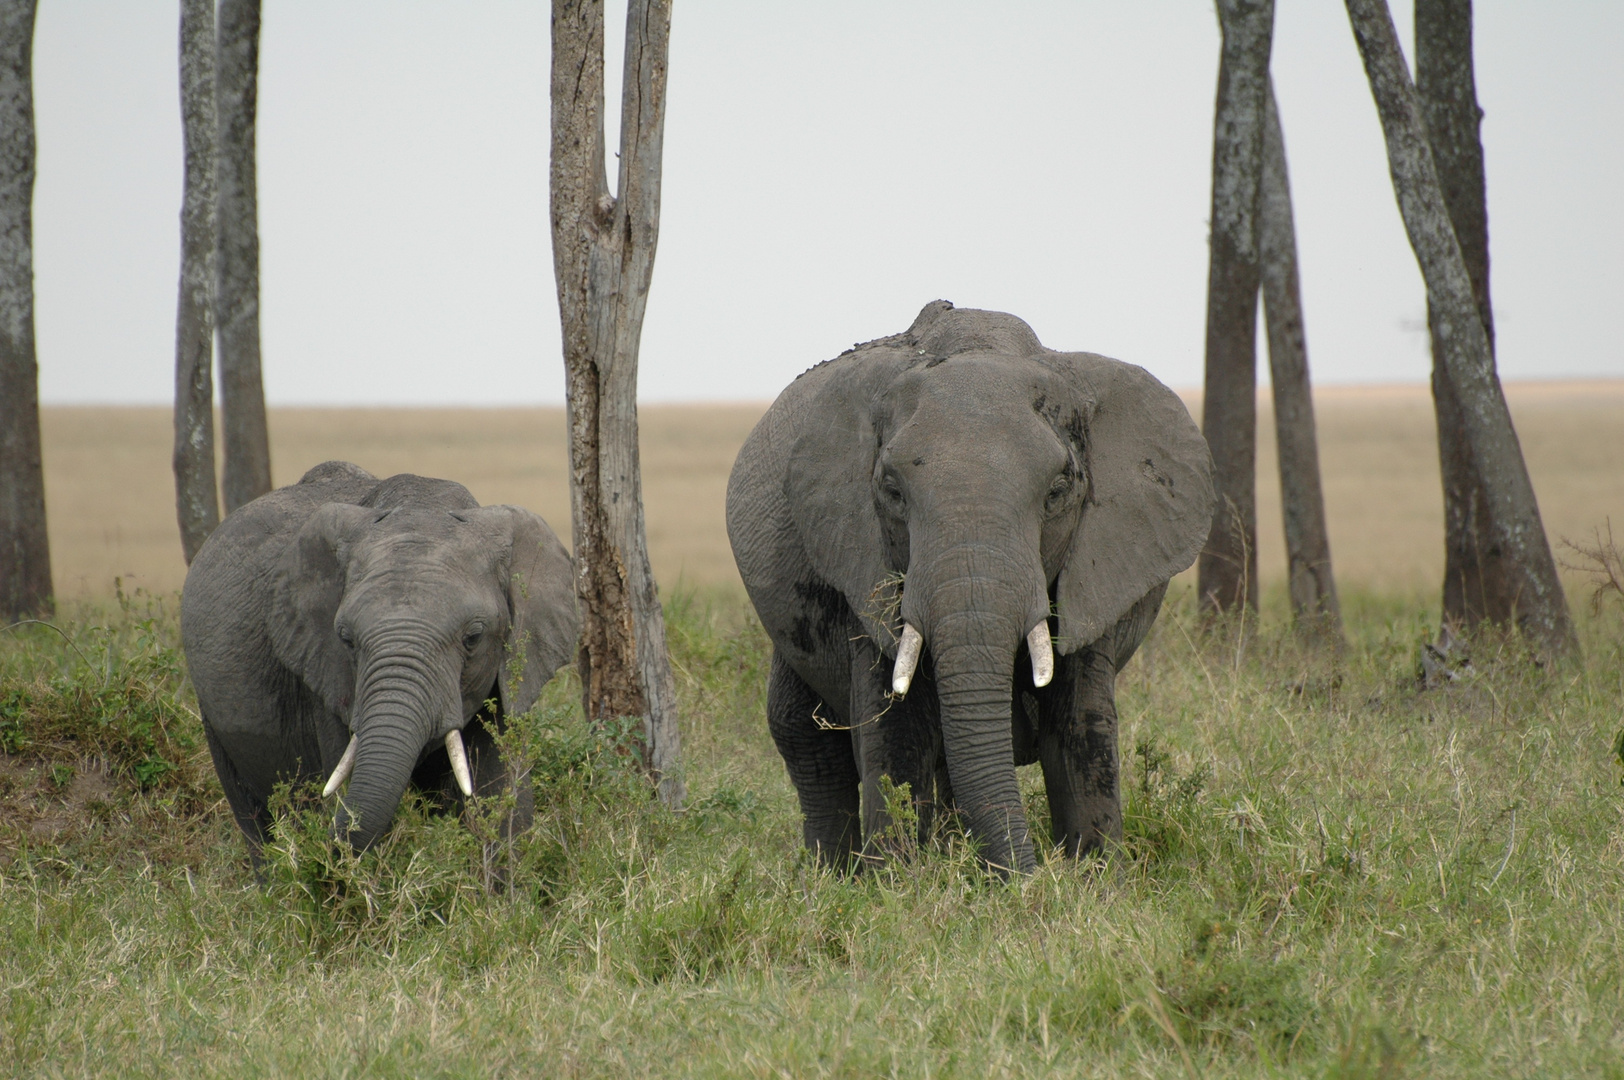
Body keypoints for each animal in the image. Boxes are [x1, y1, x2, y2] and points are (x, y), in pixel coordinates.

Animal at [180, 457, 578, 864]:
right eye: (346, 639)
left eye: (473, 637)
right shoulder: (327, 677)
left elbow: (502, 798)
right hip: (212, 713)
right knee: (252, 818)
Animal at [730, 298, 1214, 870]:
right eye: (892, 490)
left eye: (1058, 491)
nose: (1026, 876)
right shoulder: (863, 564)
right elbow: (895, 733)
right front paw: (898, 881)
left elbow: (1080, 727)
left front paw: (1095, 875)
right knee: (803, 736)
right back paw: (832, 874)